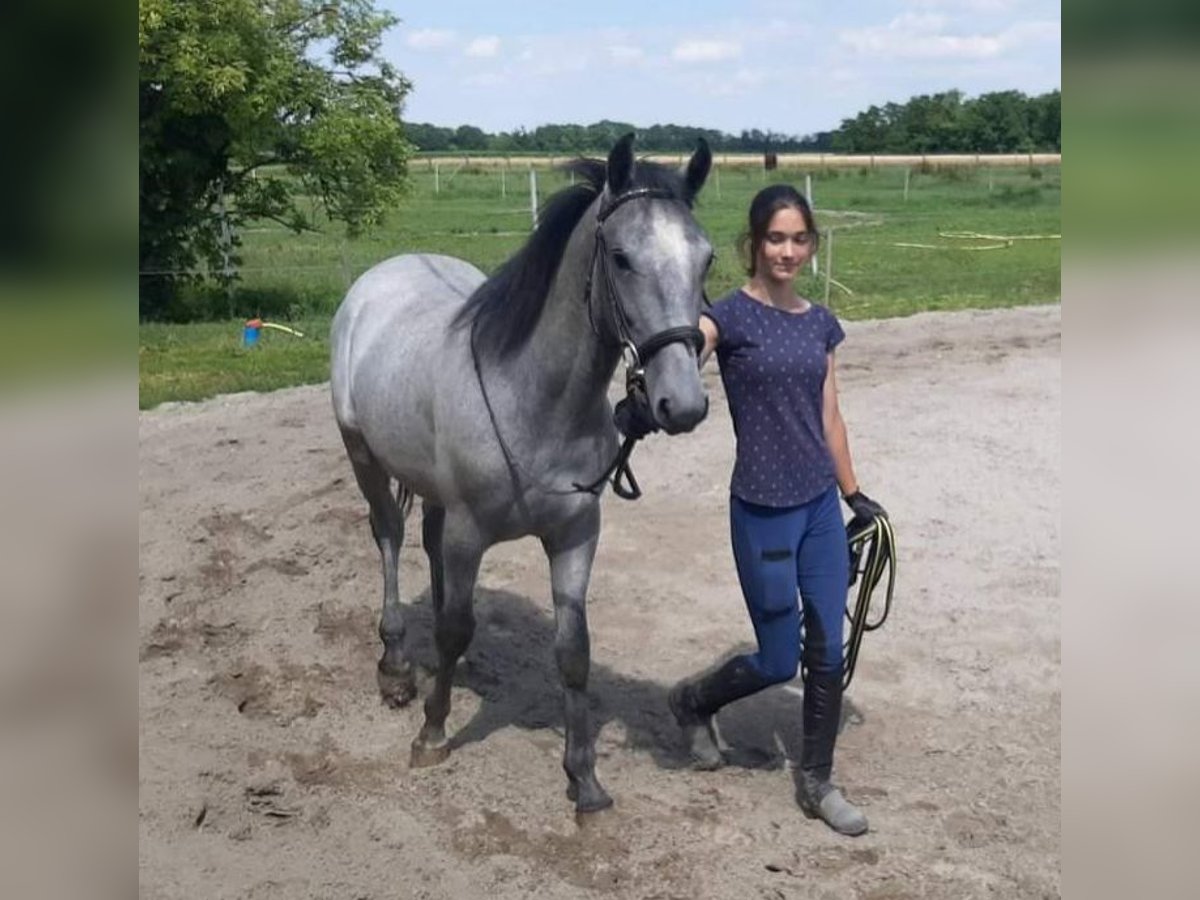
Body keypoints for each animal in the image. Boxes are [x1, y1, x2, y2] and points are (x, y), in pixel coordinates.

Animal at [328, 135, 710, 816]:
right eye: (621, 258)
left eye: (707, 260)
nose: (682, 404)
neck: (533, 399)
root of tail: (378, 278)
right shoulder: (470, 530)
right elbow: (454, 626)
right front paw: (431, 733)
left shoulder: (575, 536)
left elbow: (572, 651)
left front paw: (583, 777)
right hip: (363, 456)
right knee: (390, 540)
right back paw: (396, 666)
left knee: (427, 546)